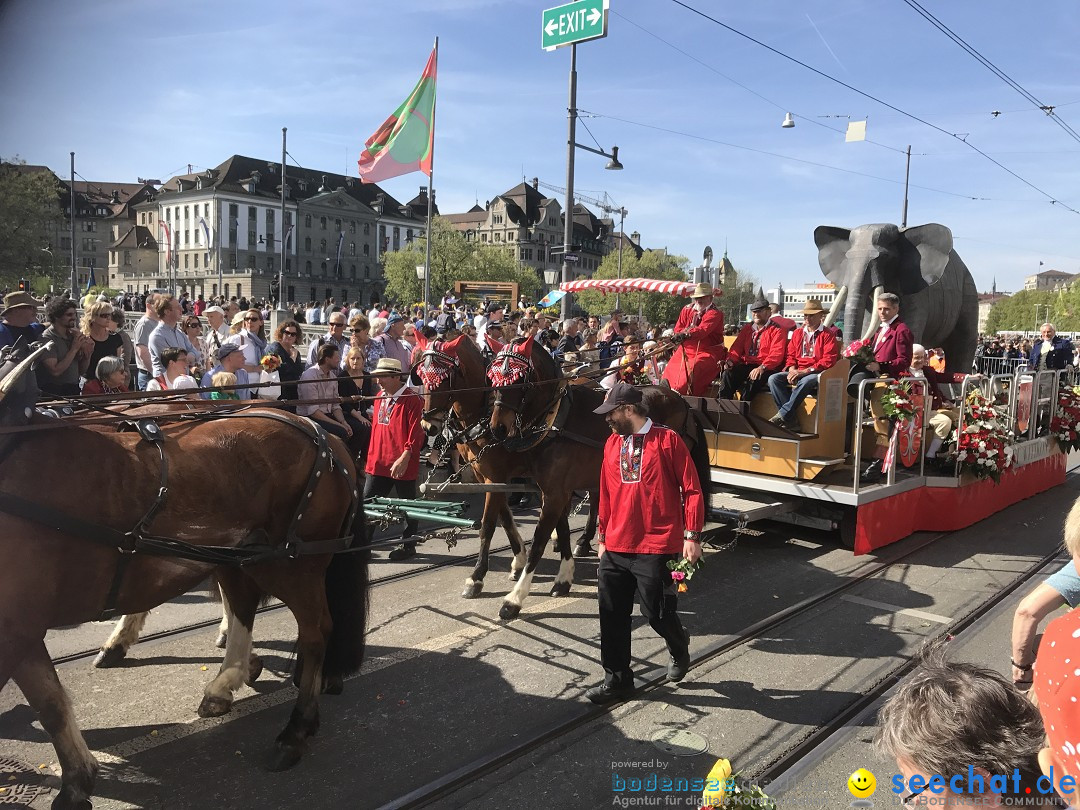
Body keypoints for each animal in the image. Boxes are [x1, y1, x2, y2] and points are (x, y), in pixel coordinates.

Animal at [0, 352, 369, 810]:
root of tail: (322, 433)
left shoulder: (13, 628)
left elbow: (46, 700)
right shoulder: (21, 627)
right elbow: (49, 702)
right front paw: (77, 781)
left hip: (291, 565)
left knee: (315, 631)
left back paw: (295, 729)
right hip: (239, 557)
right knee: (246, 606)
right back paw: (230, 679)